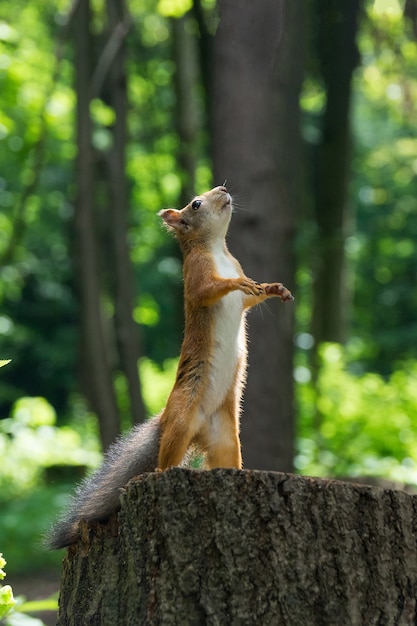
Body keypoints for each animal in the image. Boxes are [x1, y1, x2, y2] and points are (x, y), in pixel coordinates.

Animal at [46, 184, 292, 544]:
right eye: (196, 203)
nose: (224, 189)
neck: (217, 248)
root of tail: (181, 424)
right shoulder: (197, 275)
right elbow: (209, 290)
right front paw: (235, 285)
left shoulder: (238, 270)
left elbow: (252, 297)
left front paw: (275, 288)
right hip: (180, 420)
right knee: (164, 463)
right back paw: (161, 473)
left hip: (226, 438)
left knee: (224, 458)